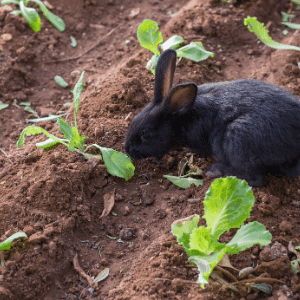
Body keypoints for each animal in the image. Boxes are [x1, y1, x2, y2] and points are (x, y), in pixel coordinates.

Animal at [125, 49, 300, 185]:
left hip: (238, 138)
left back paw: (217, 172)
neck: (184, 117)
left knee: (254, 178)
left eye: (146, 136)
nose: (127, 150)